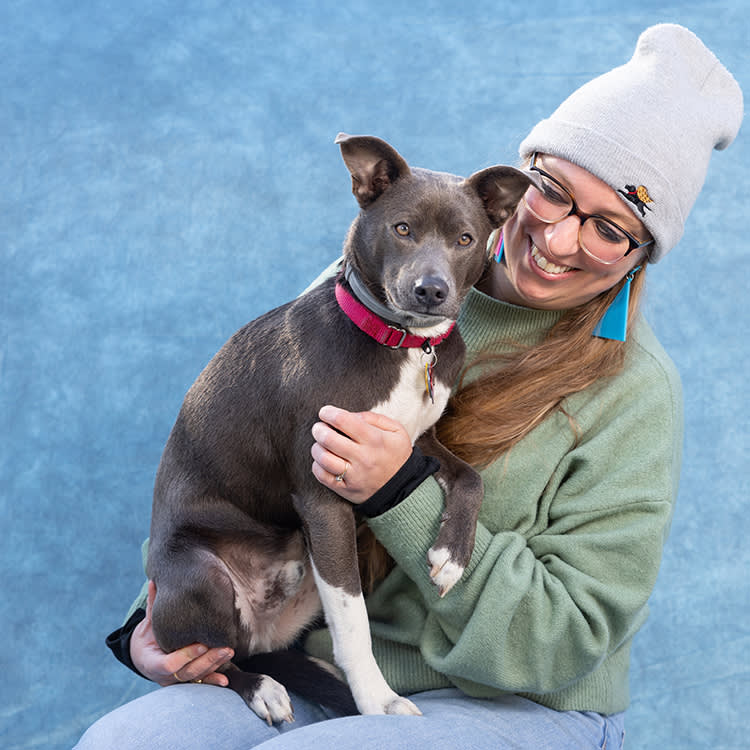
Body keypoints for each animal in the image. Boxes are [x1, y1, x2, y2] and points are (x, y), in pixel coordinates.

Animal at [148, 132, 536, 724]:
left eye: (465, 238)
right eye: (402, 228)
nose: (431, 290)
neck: (403, 345)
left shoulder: (416, 445)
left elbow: (471, 478)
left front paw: (451, 557)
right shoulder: (323, 496)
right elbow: (354, 624)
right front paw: (377, 701)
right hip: (203, 574)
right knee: (219, 660)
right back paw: (262, 688)